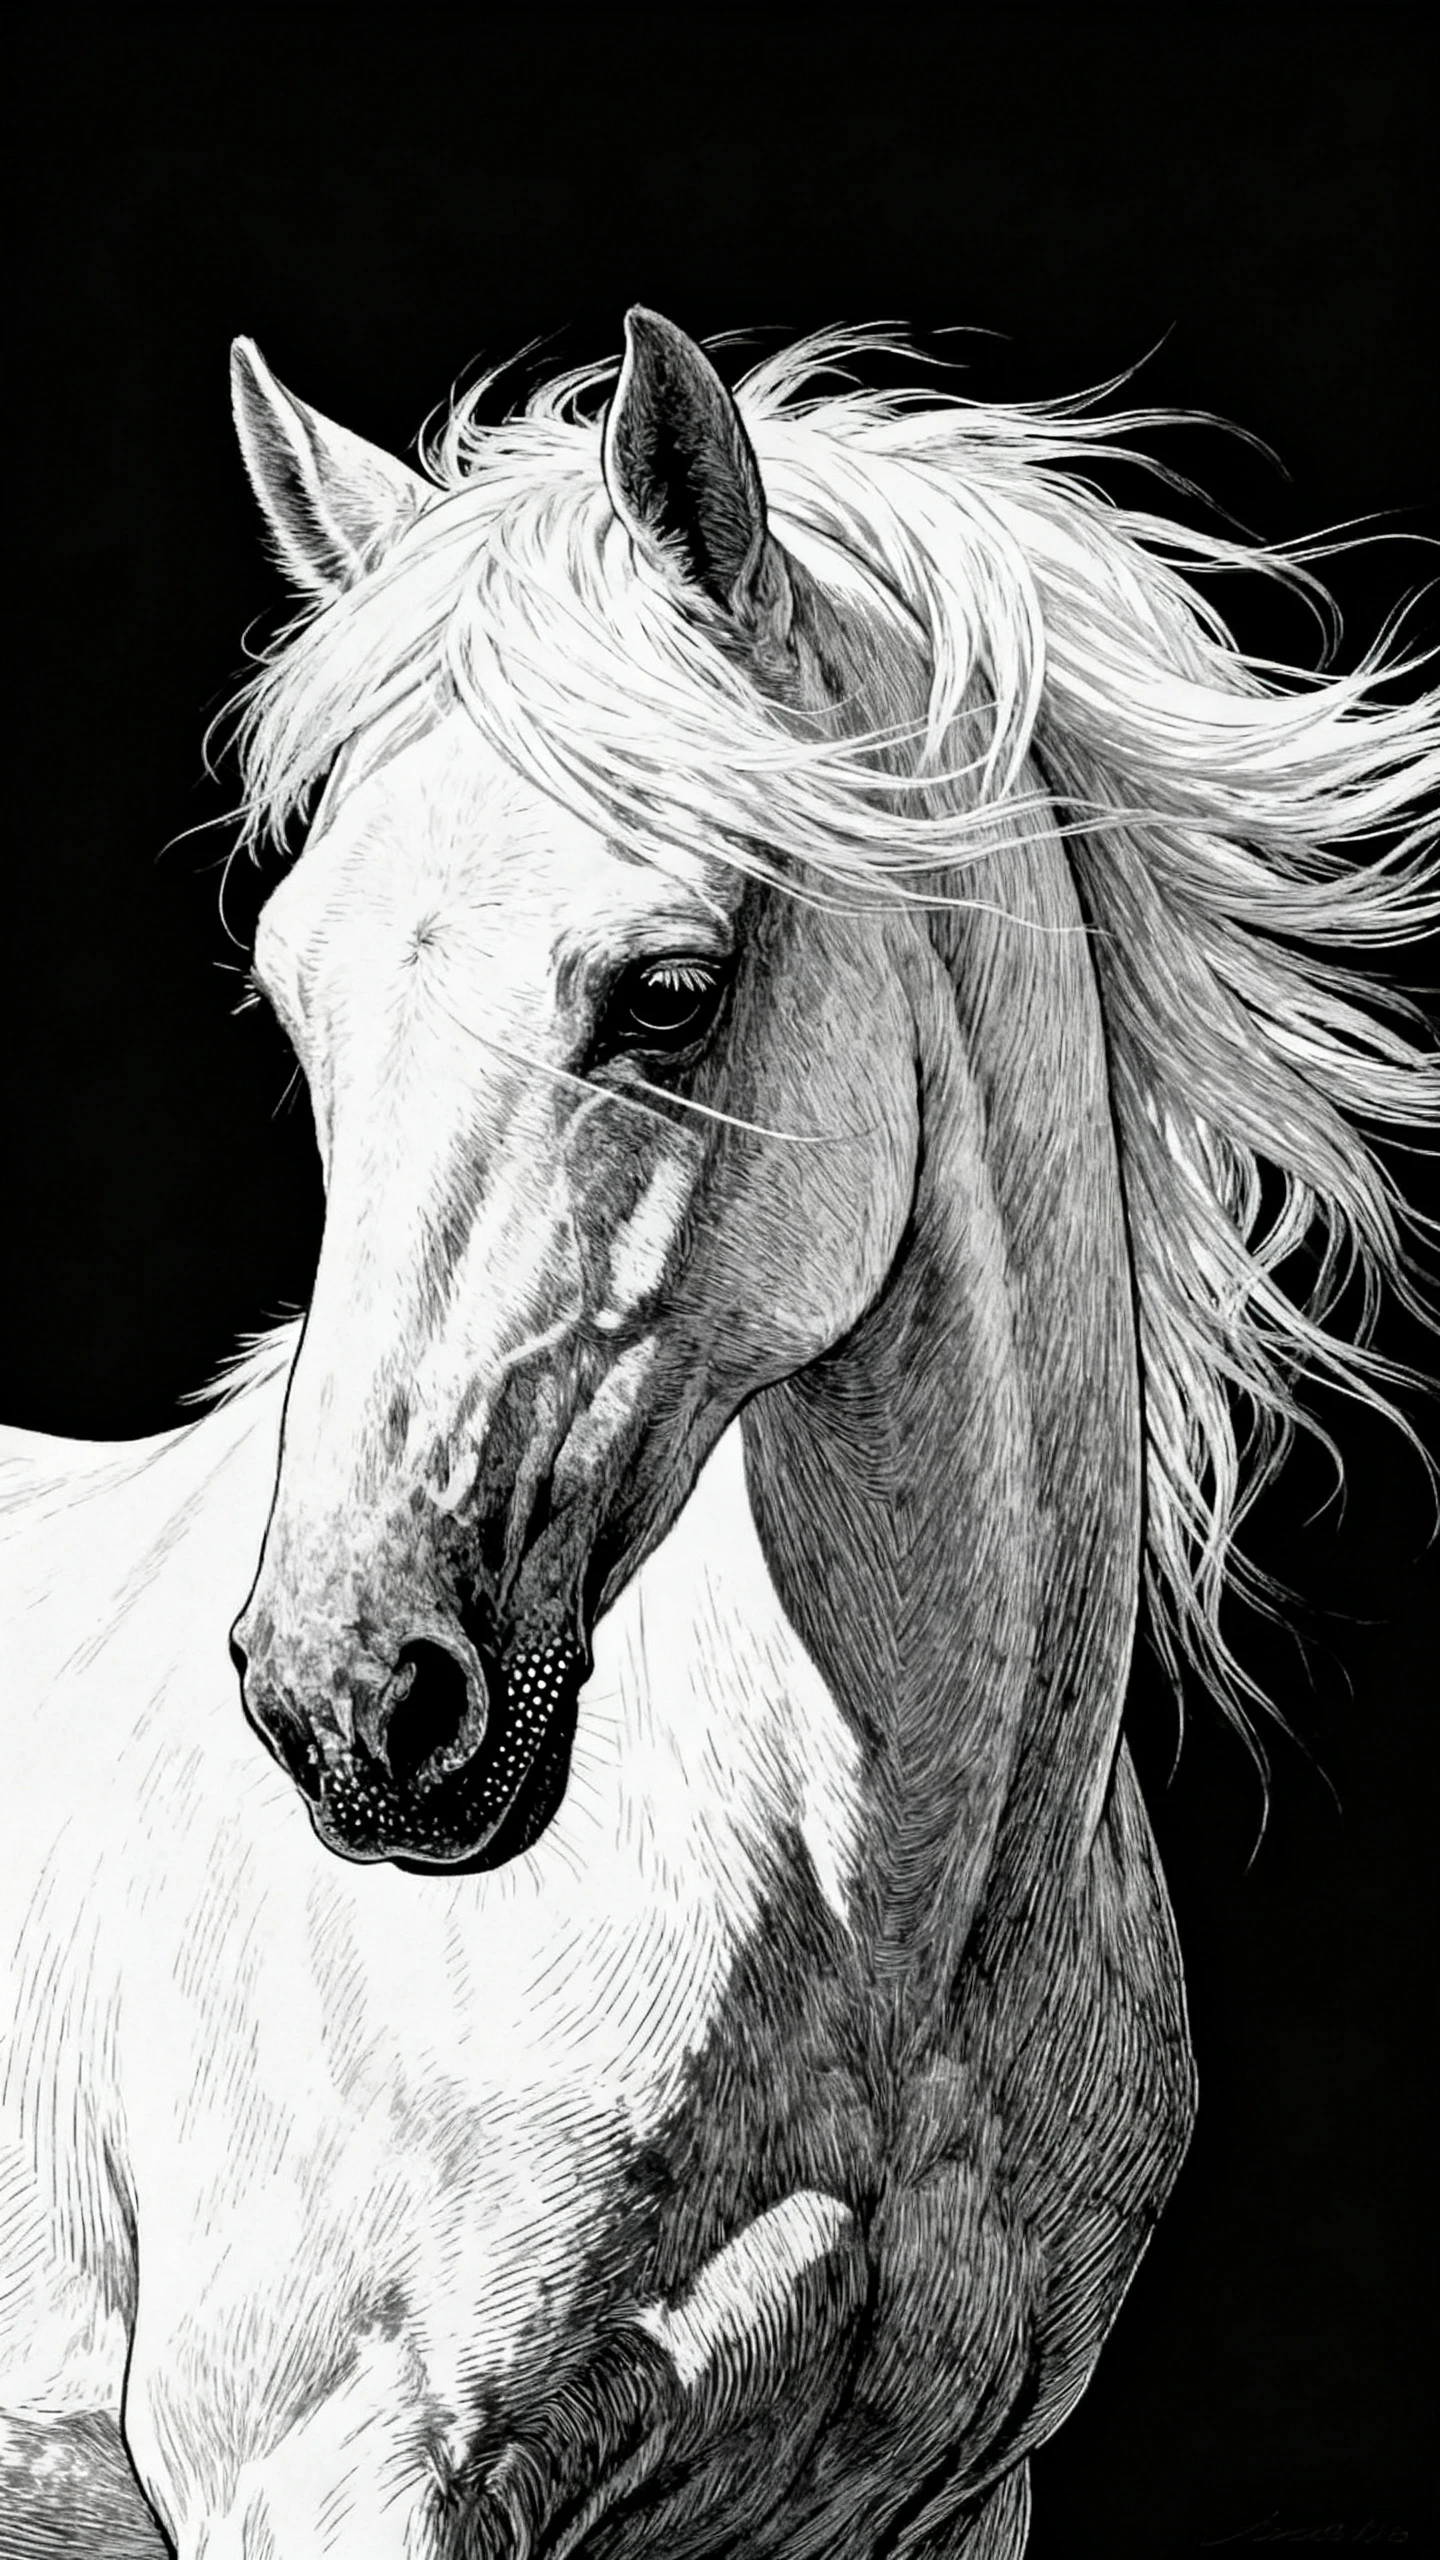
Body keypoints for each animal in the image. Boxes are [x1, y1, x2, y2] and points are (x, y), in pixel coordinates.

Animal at [2, 307, 1436, 2560]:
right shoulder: (330, 2480)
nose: (349, 1701)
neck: (866, 1936)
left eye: (668, 991)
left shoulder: (946, 2510)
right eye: (301, 999)